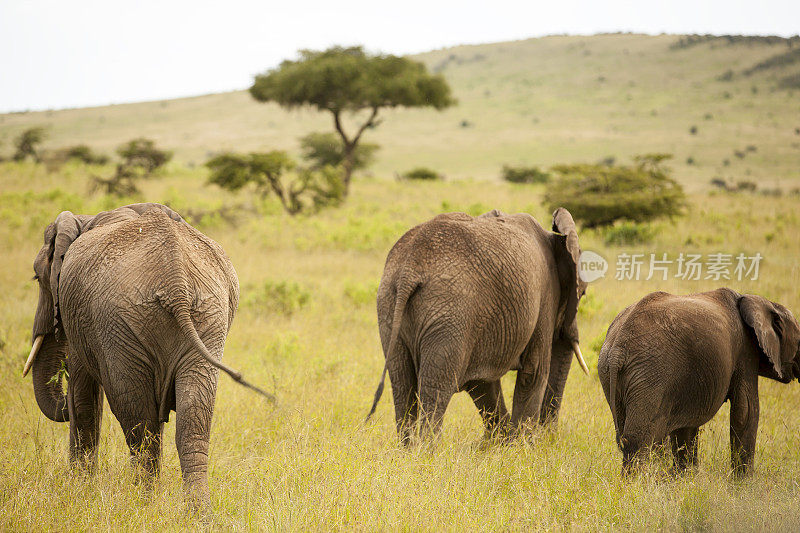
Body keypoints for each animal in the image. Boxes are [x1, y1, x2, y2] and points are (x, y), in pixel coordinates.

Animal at [23, 202, 272, 504]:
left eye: (37, 277)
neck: (84, 219)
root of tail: (175, 278)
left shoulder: (82, 322)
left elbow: (83, 397)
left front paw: (79, 489)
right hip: (210, 315)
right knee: (192, 419)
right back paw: (197, 511)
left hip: (119, 323)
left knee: (136, 417)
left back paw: (142, 503)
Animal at [368, 207, 588, 440]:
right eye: (582, 293)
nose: (549, 436)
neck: (554, 237)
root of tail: (410, 268)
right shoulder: (545, 297)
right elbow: (533, 372)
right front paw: (520, 445)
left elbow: (483, 383)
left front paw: (501, 442)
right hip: (450, 313)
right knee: (436, 388)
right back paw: (426, 449)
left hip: (390, 307)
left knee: (402, 383)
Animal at [600, 288, 800, 476]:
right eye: (799, 340)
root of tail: (618, 348)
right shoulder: (745, 350)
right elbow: (746, 411)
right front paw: (744, 484)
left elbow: (687, 426)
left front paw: (685, 479)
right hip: (651, 373)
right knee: (641, 439)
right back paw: (639, 485)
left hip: (612, 374)